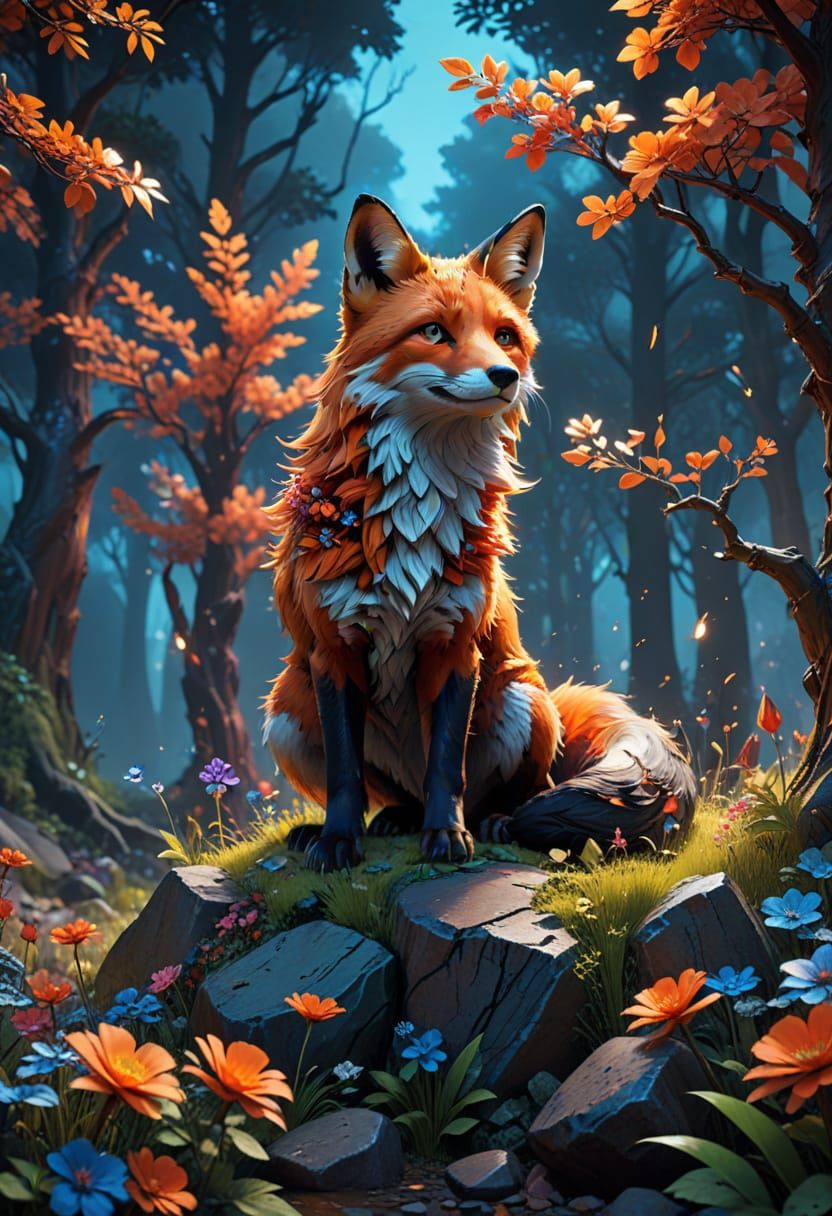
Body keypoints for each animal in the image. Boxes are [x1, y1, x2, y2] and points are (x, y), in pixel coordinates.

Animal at [263, 194, 695, 871]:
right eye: (434, 331)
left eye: (505, 336)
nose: (504, 376)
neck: (414, 517)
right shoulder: (334, 651)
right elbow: (343, 776)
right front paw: (336, 841)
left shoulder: (455, 643)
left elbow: (447, 765)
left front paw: (448, 837)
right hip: (287, 708)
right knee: (389, 790)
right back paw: (381, 822)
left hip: (522, 699)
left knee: (527, 788)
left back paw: (492, 821)